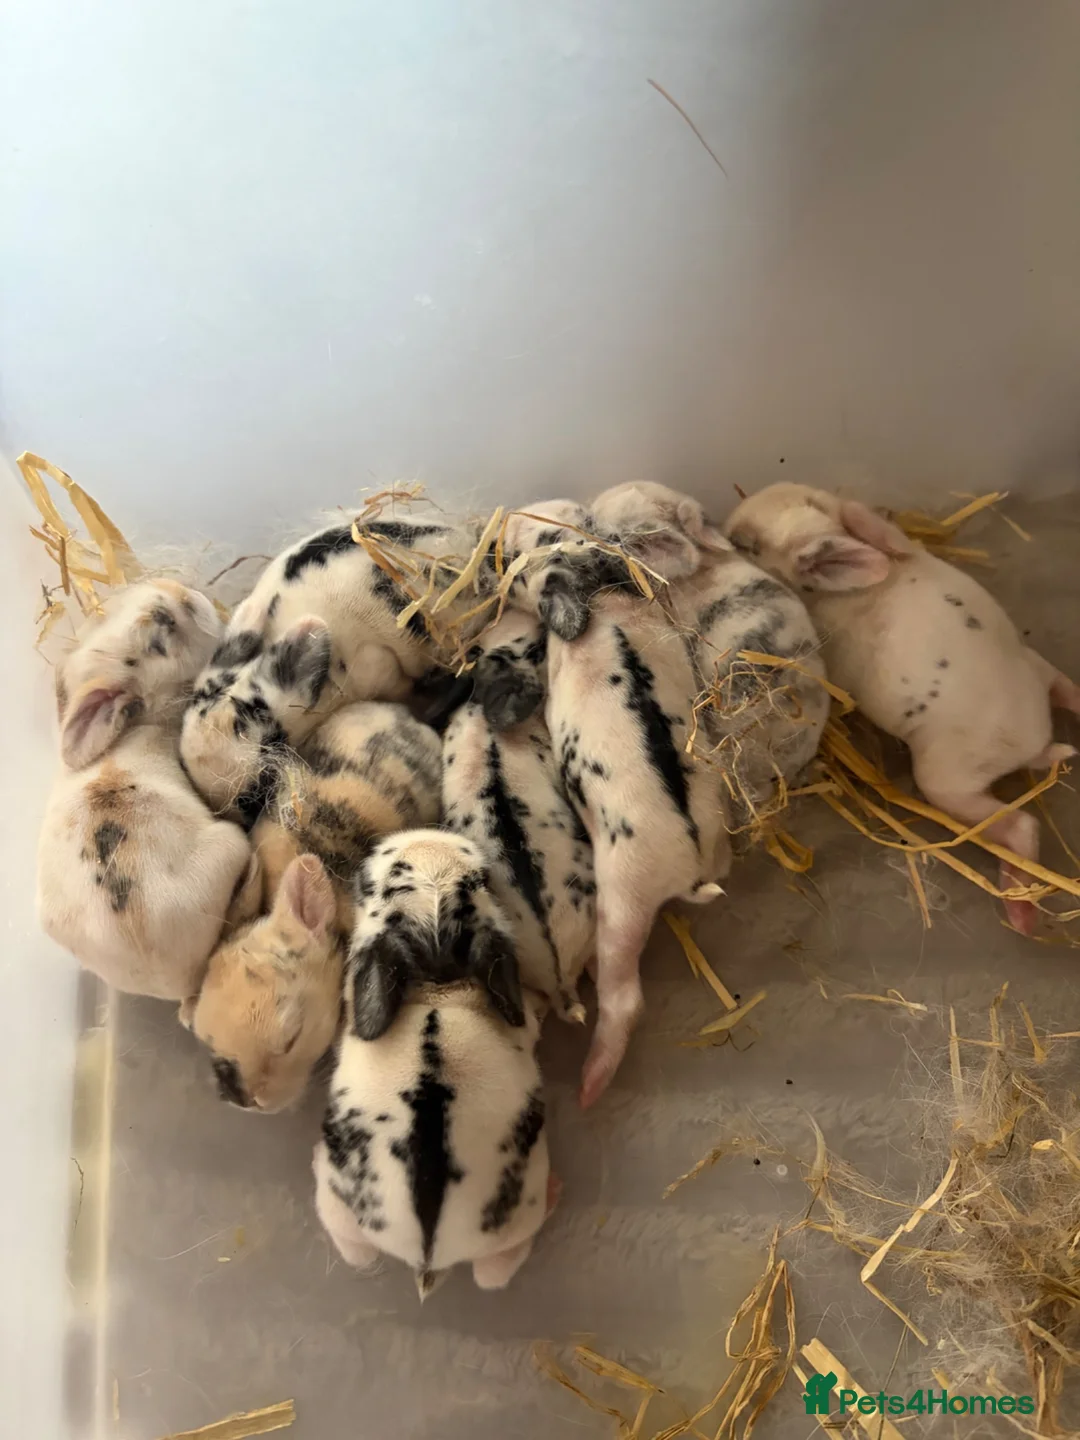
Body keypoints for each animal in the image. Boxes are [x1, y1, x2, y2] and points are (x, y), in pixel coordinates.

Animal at [724, 482, 1080, 934]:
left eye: (746, 544)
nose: (725, 527)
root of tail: (1039, 743)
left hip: (945, 781)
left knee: (1021, 826)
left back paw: (1020, 915)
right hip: (1039, 668)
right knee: (1069, 692)